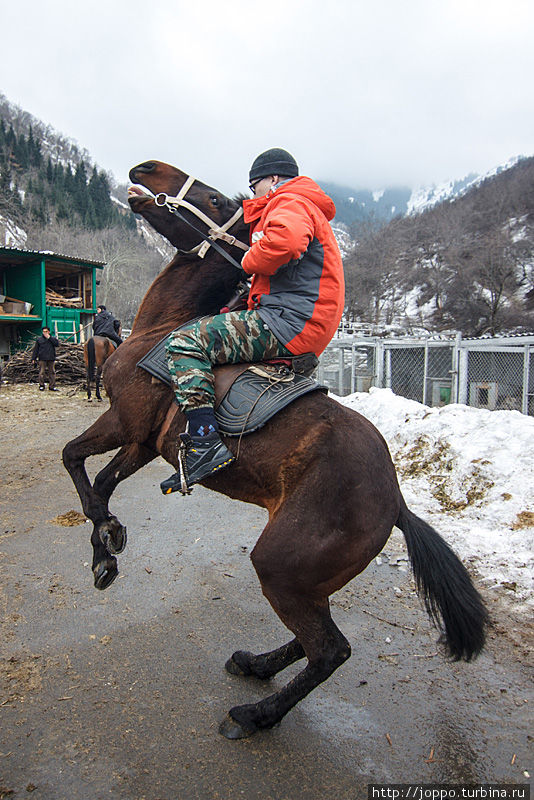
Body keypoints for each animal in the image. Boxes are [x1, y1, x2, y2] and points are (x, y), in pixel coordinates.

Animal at [62, 159, 490, 740]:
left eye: (218, 201)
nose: (146, 169)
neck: (161, 329)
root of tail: (396, 501)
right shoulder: (143, 440)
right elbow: (94, 478)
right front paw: (105, 547)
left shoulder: (124, 423)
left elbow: (79, 465)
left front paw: (105, 544)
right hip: (306, 576)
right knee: (314, 642)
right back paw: (257, 664)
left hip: (281, 566)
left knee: (330, 650)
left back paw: (257, 713)